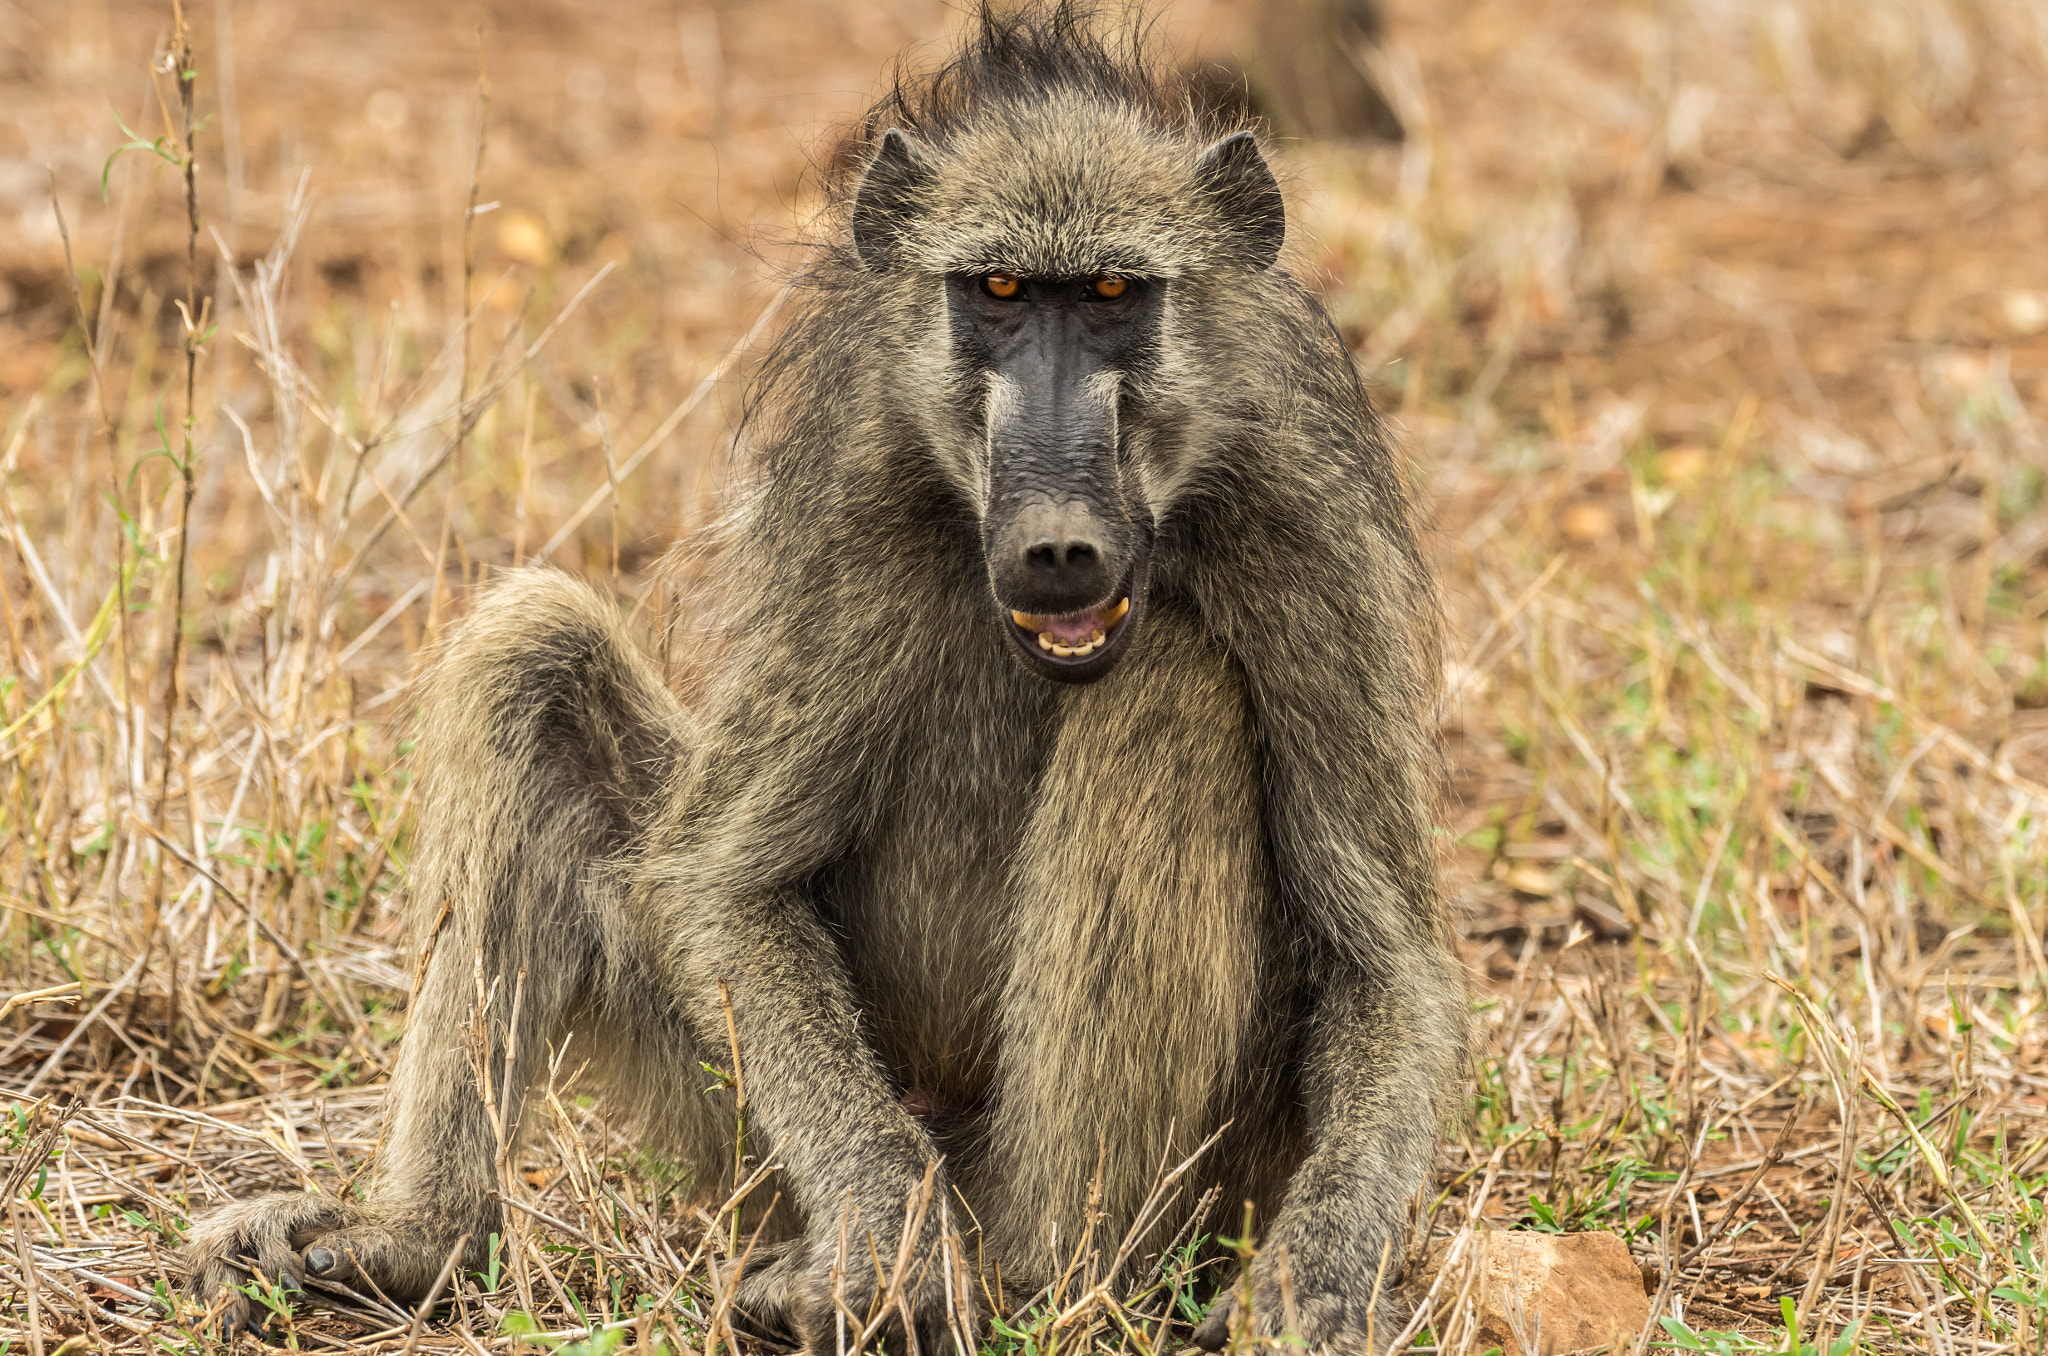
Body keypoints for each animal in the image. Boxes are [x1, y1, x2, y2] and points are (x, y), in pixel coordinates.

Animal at [180, 6, 1469, 1351]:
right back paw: (421, 1241)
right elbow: (723, 886)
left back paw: (1033, 1275)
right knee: (526, 654)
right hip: (749, 1138)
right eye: (996, 294)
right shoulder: (855, 498)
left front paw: (1317, 1281)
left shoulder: (1309, 519)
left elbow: (1387, 967)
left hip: (1184, 1182)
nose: (1056, 541)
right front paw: (887, 1246)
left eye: (1113, 294)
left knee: (1168, 687)